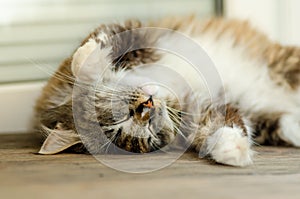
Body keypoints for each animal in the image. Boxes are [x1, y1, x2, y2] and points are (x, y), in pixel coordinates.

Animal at [34, 16, 300, 167]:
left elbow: (94, 52)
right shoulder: (206, 110)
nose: (147, 107)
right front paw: (232, 151)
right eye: (123, 129)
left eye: (119, 118)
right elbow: (223, 128)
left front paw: (86, 65)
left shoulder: (136, 33)